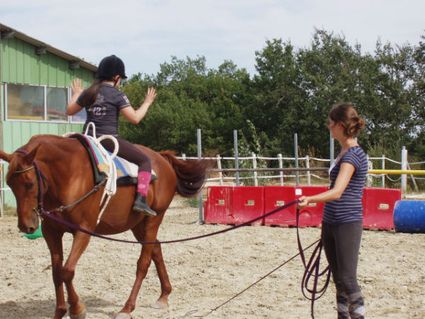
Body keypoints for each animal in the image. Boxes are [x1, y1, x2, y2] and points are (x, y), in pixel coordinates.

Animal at [0, 135, 208, 319]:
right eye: (9, 183)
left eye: (29, 184)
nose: (26, 226)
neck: (69, 174)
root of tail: (162, 159)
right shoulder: (52, 232)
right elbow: (56, 273)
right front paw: (60, 311)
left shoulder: (83, 231)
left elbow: (67, 271)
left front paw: (77, 309)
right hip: (137, 225)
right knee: (155, 248)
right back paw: (164, 295)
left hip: (152, 221)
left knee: (143, 263)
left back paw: (127, 308)